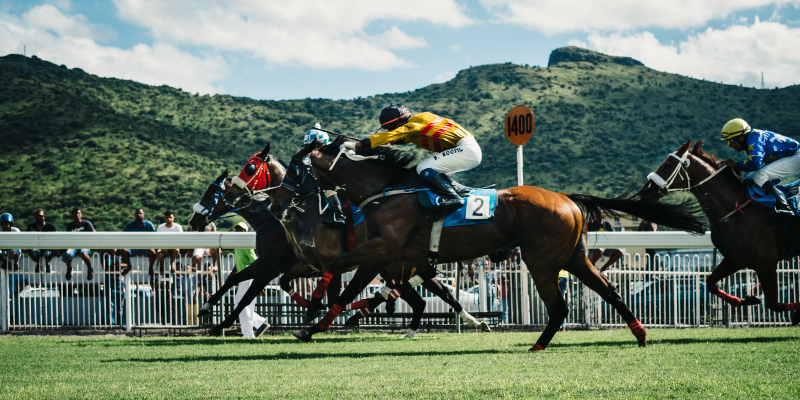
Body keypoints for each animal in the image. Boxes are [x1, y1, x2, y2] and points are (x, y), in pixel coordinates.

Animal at [270, 138, 708, 350]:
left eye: (294, 168)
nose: (281, 200)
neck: (386, 189)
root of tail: (567, 199)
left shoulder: (382, 251)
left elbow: (335, 271)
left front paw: (310, 312)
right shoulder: (388, 257)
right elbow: (351, 289)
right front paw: (312, 326)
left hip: (541, 260)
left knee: (560, 306)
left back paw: (538, 345)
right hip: (575, 258)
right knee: (609, 292)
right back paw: (640, 334)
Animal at [636, 141, 800, 324]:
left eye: (667, 165)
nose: (644, 191)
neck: (737, 209)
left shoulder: (766, 262)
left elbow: (774, 304)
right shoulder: (736, 259)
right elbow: (710, 283)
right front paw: (748, 299)